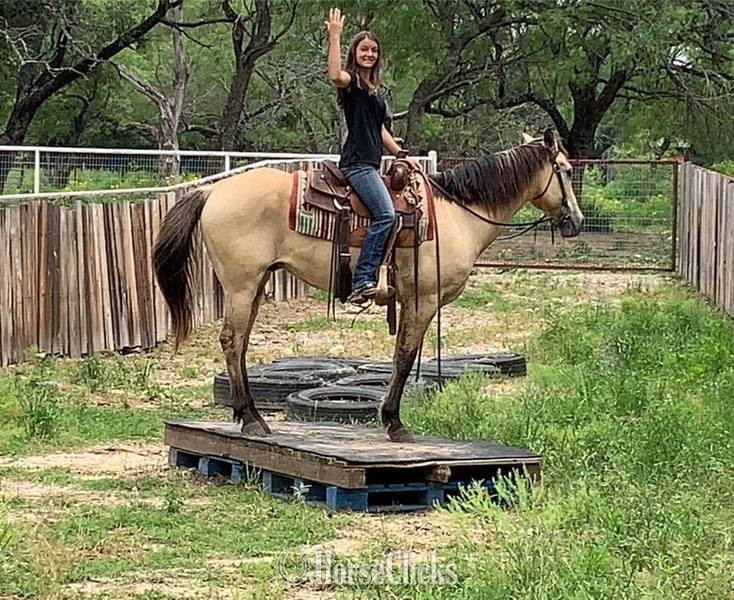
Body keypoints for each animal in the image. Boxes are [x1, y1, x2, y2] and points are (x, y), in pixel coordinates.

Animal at [153, 129, 584, 442]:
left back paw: (249, 415)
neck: (457, 214)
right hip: (242, 285)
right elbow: (405, 357)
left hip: (255, 285)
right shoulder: (424, 300)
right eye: (563, 169)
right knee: (231, 341)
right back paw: (252, 420)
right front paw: (394, 422)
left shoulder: (410, 300)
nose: (576, 221)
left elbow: (401, 356)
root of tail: (212, 190)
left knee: (239, 344)